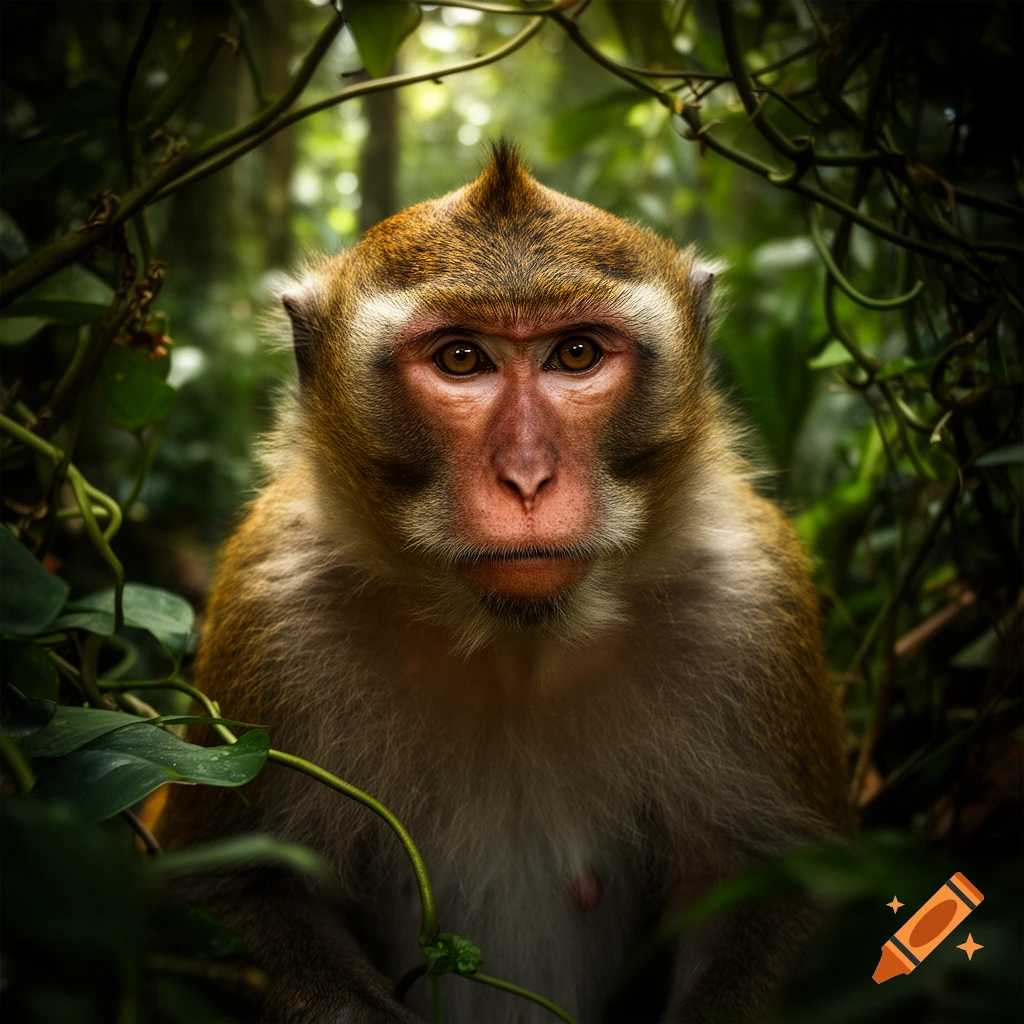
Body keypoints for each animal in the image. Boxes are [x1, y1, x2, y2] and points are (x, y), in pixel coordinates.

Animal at [159, 143, 849, 1024]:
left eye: (576, 354)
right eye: (462, 359)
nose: (527, 478)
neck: (518, 646)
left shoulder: (750, 599)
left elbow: (777, 893)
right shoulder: (274, 599)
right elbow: (230, 893)